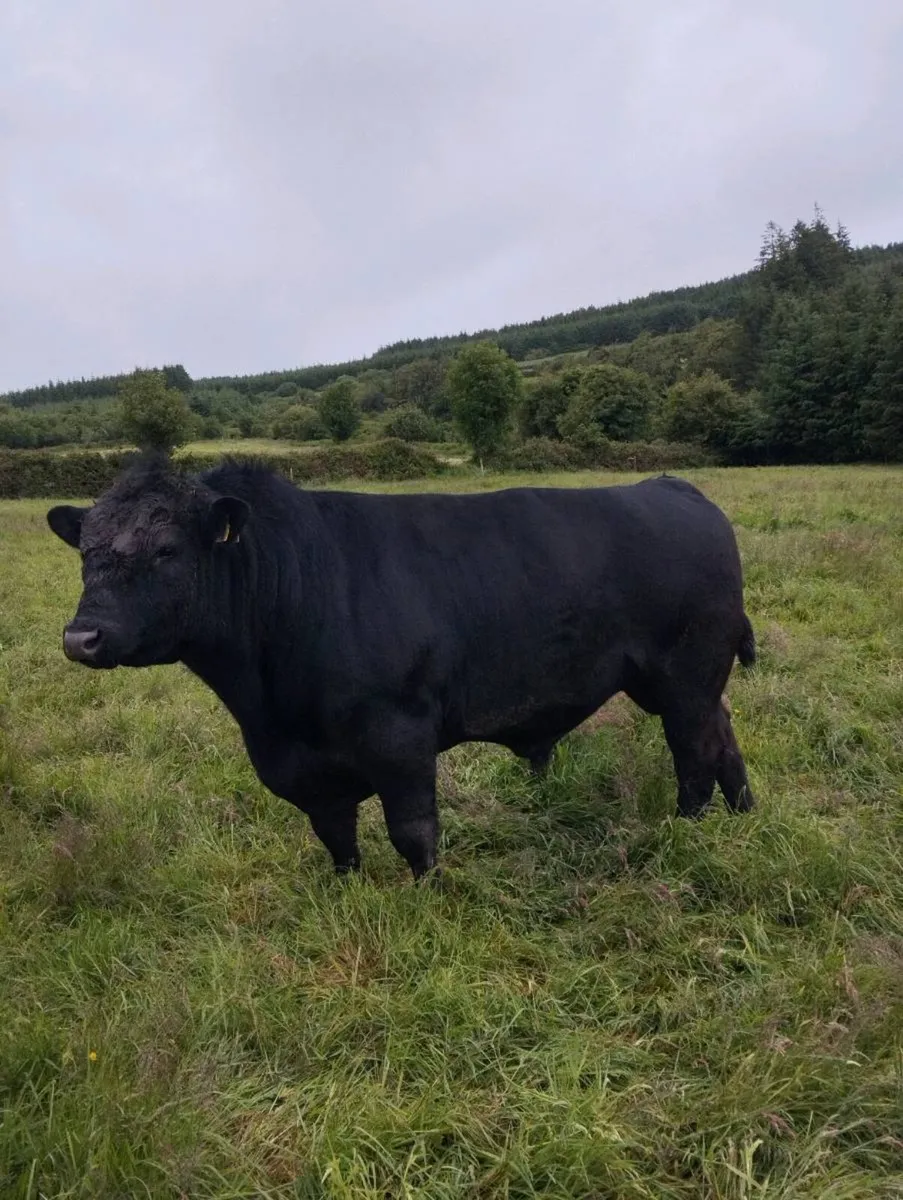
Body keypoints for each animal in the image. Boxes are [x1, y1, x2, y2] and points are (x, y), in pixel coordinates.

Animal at [47, 455, 756, 881]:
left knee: (694, 754)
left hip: (686, 673)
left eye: (167, 549)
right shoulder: (303, 769)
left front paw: (429, 899)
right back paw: (745, 818)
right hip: (686, 680)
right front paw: (348, 894)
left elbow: (413, 831)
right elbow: (336, 840)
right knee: (724, 739)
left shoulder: (400, 735)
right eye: (85, 551)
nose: (81, 637)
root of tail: (673, 485)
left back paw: (685, 833)